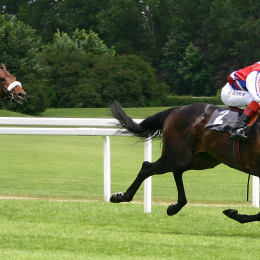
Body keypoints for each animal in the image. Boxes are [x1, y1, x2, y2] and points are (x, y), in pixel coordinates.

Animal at [109, 101, 260, 223]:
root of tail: (178, 109)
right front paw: (233, 213)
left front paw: (234, 213)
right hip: (176, 156)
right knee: (147, 167)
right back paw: (121, 197)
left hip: (201, 159)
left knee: (177, 171)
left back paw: (175, 206)